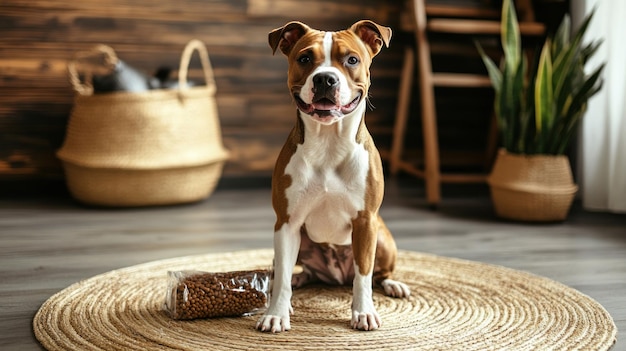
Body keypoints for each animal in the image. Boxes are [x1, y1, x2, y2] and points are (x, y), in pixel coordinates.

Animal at [256, 20, 408, 334]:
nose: (325, 79)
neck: (328, 143)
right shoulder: (286, 223)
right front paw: (276, 313)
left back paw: (393, 285)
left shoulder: (365, 222)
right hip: (296, 239)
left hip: (383, 240)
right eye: (304, 59)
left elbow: (363, 275)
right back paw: (298, 280)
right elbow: (282, 276)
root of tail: (336, 276)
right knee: (294, 271)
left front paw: (363, 312)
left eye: (351, 60)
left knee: (378, 274)